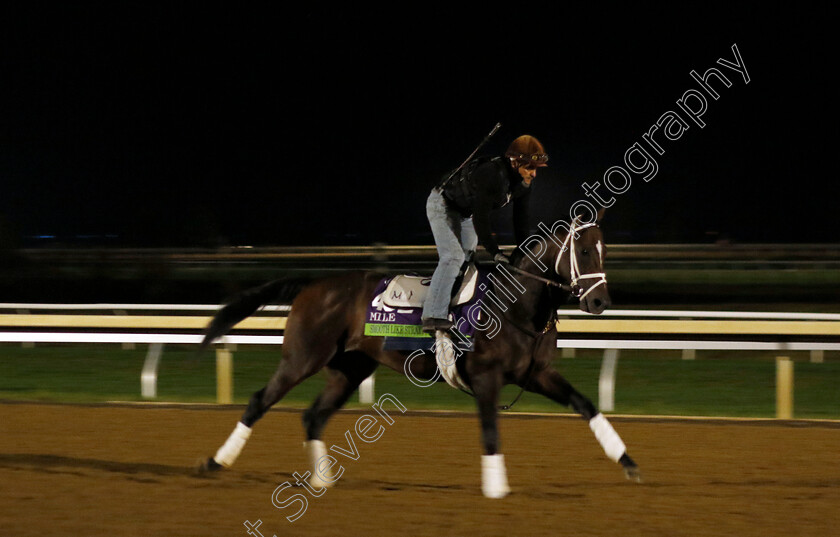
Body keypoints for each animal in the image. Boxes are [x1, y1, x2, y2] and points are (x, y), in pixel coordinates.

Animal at [199, 218, 644, 498]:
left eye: (604, 250)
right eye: (583, 251)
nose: (600, 302)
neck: (514, 306)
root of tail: (313, 284)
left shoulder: (537, 374)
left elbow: (585, 404)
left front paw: (627, 461)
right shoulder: (486, 377)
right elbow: (490, 430)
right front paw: (496, 488)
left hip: (350, 369)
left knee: (314, 416)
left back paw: (321, 481)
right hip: (301, 357)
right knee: (259, 401)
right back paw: (215, 462)